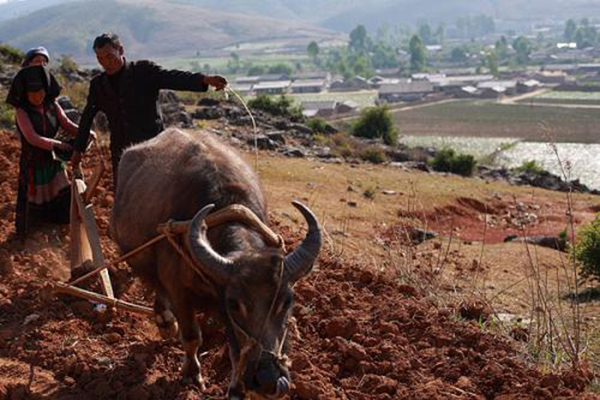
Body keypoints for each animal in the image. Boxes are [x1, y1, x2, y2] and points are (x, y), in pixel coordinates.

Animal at [109, 127, 322, 396]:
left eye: (287, 300)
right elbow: (192, 337)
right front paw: (192, 375)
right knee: (157, 288)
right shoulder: (180, 291)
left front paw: (236, 388)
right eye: (234, 303)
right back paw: (165, 323)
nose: (268, 379)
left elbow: (235, 351)